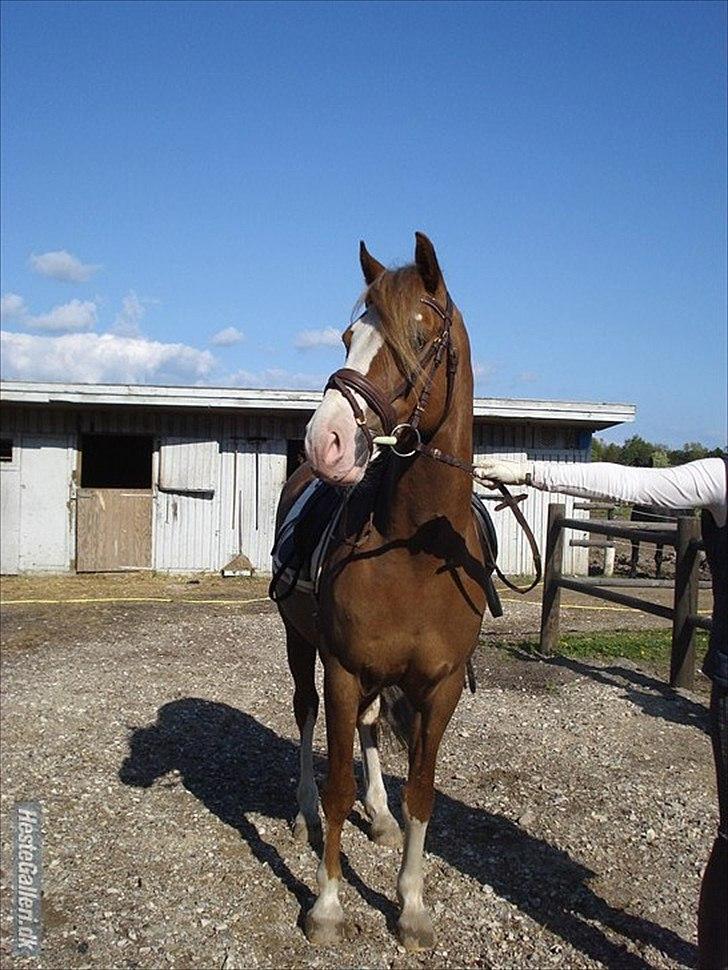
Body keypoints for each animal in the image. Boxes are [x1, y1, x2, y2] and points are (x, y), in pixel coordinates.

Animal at [274, 233, 494, 944]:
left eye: (419, 338)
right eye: (349, 336)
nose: (326, 440)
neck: (413, 554)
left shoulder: (439, 687)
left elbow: (421, 793)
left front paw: (413, 904)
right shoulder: (342, 668)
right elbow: (337, 780)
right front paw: (326, 905)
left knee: (370, 729)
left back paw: (380, 814)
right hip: (301, 643)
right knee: (306, 713)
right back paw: (304, 813)